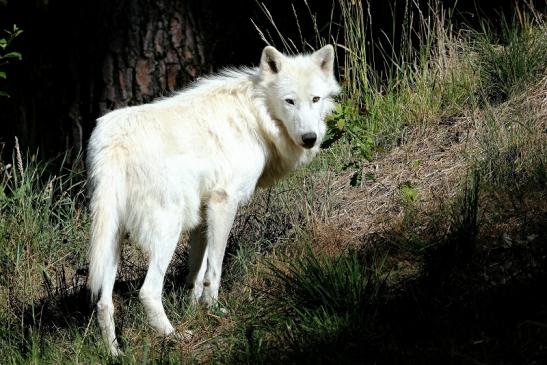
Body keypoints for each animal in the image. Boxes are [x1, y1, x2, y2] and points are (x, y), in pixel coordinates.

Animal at [86, 44, 338, 354]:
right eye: (289, 101)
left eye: (315, 99)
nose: (309, 138)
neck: (254, 115)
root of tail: (111, 142)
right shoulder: (223, 202)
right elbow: (214, 269)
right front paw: (215, 310)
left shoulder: (202, 215)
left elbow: (196, 274)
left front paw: (195, 309)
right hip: (167, 230)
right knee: (148, 292)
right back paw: (175, 336)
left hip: (113, 240)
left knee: (103, 302)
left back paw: (116, 352)